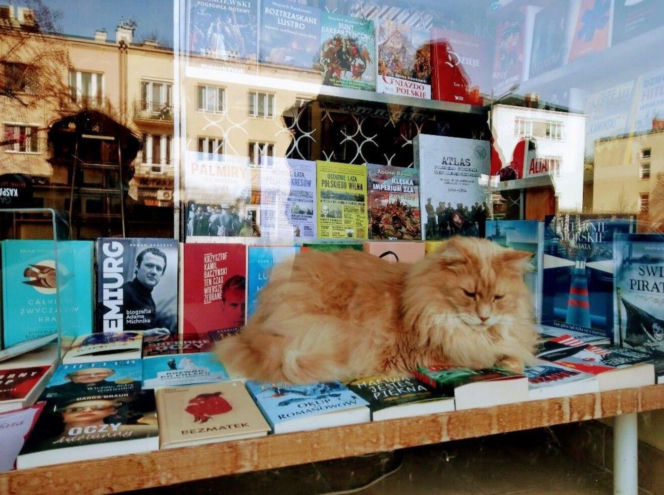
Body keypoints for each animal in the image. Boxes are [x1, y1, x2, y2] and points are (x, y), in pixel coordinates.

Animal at [217, 236, 538, 384]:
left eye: (498, 297)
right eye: (469, 294)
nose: (484, 316)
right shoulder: (433, 355)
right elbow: (491, 356)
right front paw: (513, 363)